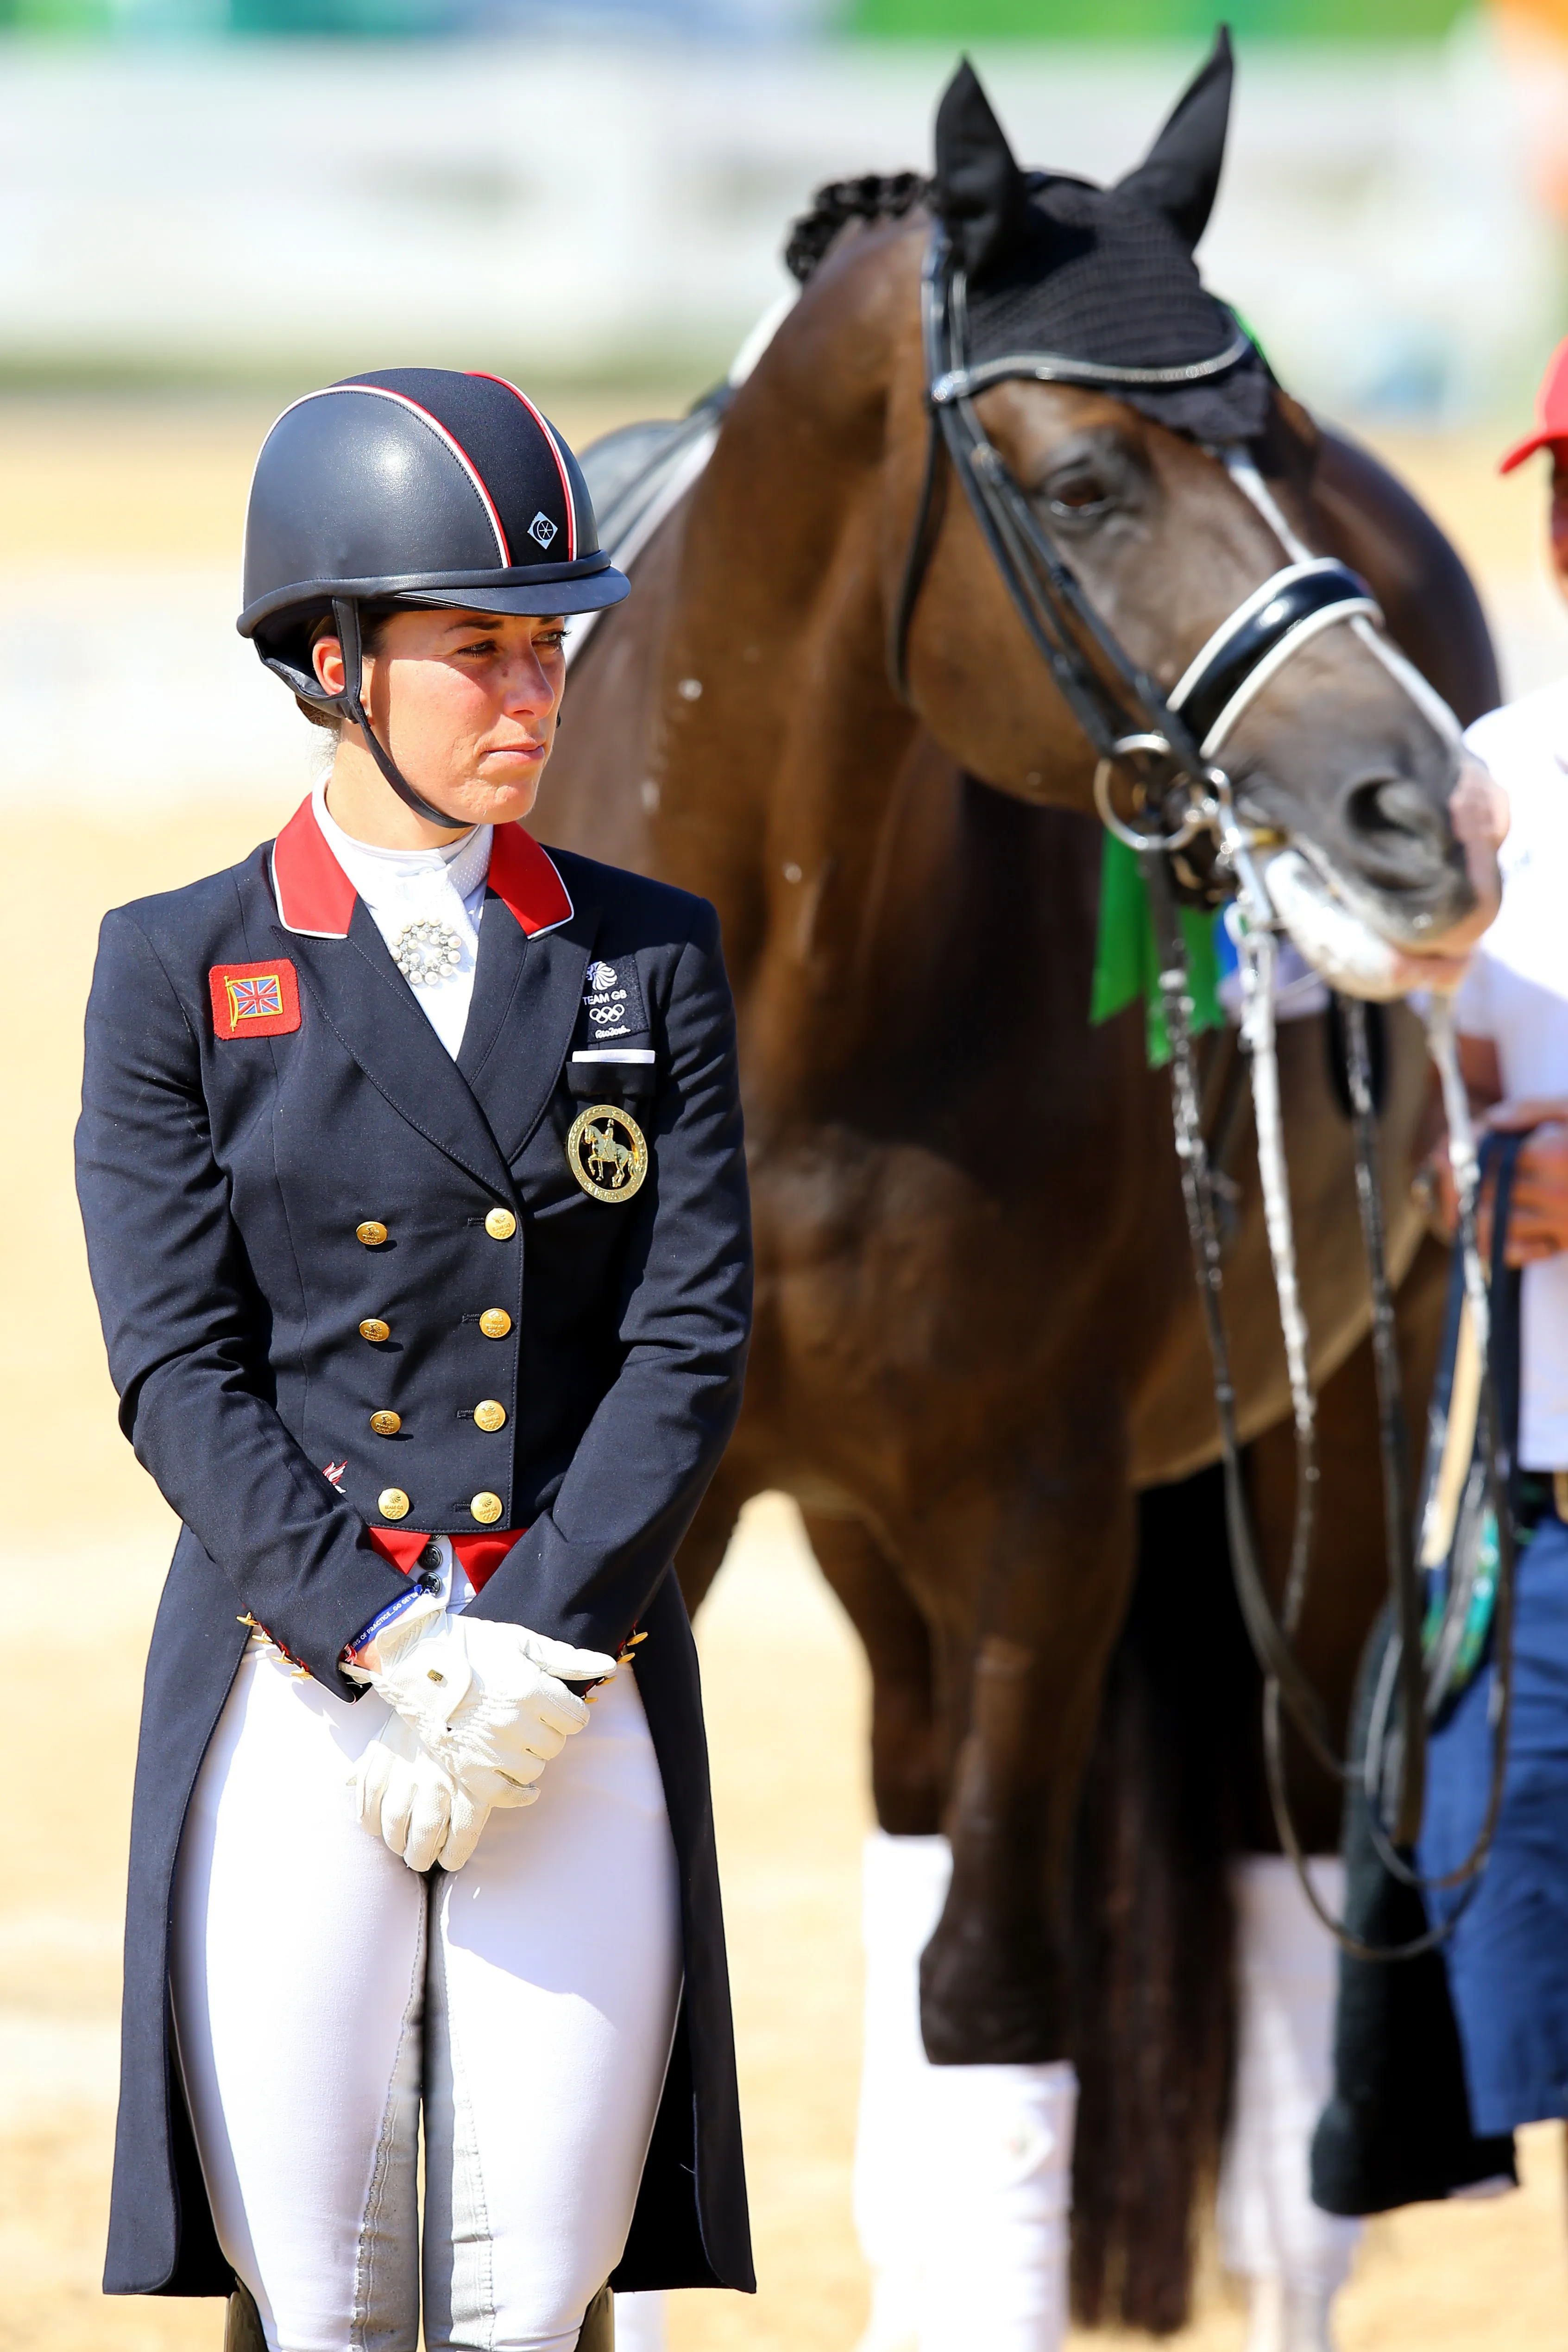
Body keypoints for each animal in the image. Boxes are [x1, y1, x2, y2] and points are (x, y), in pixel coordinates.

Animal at [539, 45, 1500, 2341]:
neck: (789, 992)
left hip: (1332, 1430)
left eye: (1290, 447)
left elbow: (996, 2003)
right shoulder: (658, 1514)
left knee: (1276, 1931)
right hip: (877, 1546)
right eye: (1078, 486)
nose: (1423, 814)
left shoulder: (1047, 1517)